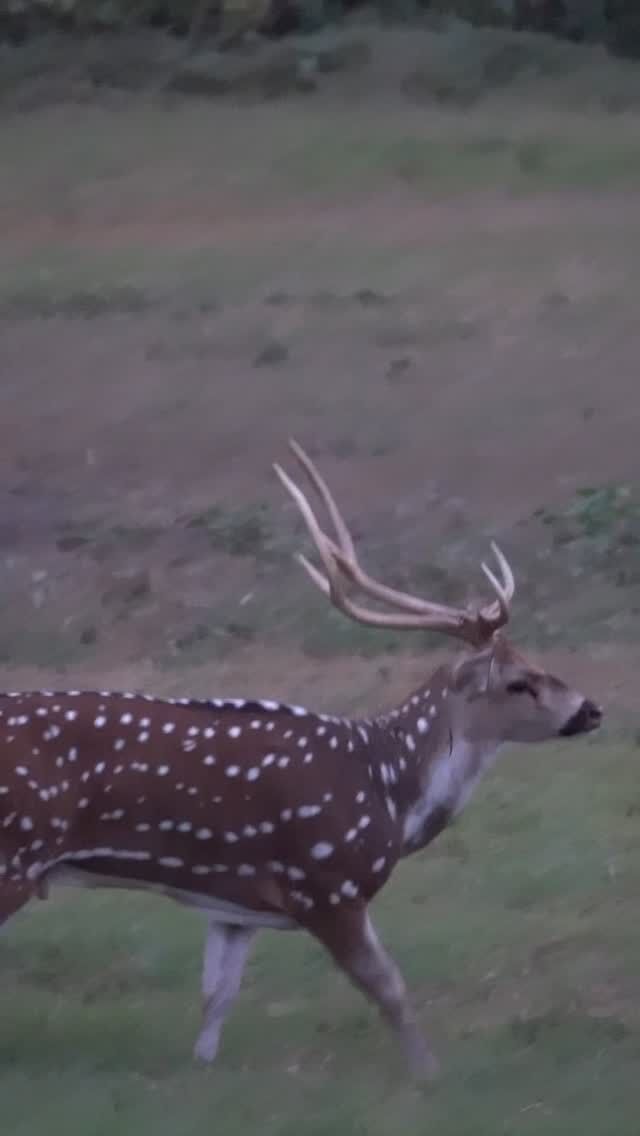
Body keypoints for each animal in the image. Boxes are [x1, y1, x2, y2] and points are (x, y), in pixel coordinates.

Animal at [0, 440, 601, 1078]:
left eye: (538, 663)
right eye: (519, 682)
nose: (591, 710)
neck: (391, 790)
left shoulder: (233, 904)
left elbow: (216, 998)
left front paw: (202, 1071)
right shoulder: (325, 883)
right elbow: (390, 988)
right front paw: (429, 1075)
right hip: (15, 853)